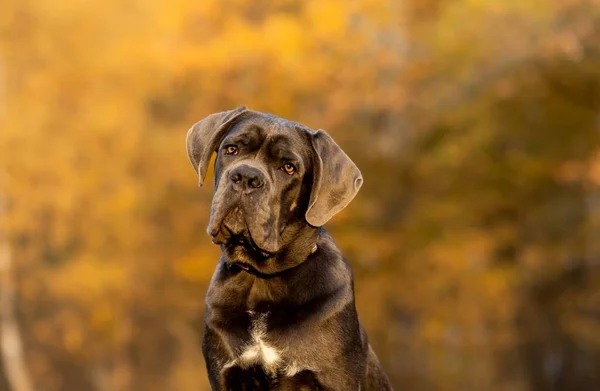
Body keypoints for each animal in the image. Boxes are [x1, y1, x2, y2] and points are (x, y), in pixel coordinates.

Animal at [188, 105, 394, 390]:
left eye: (288, 168)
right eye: (231, 149)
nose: (246, 177)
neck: (262, 278)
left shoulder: (333, 378)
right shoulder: (225, 375)